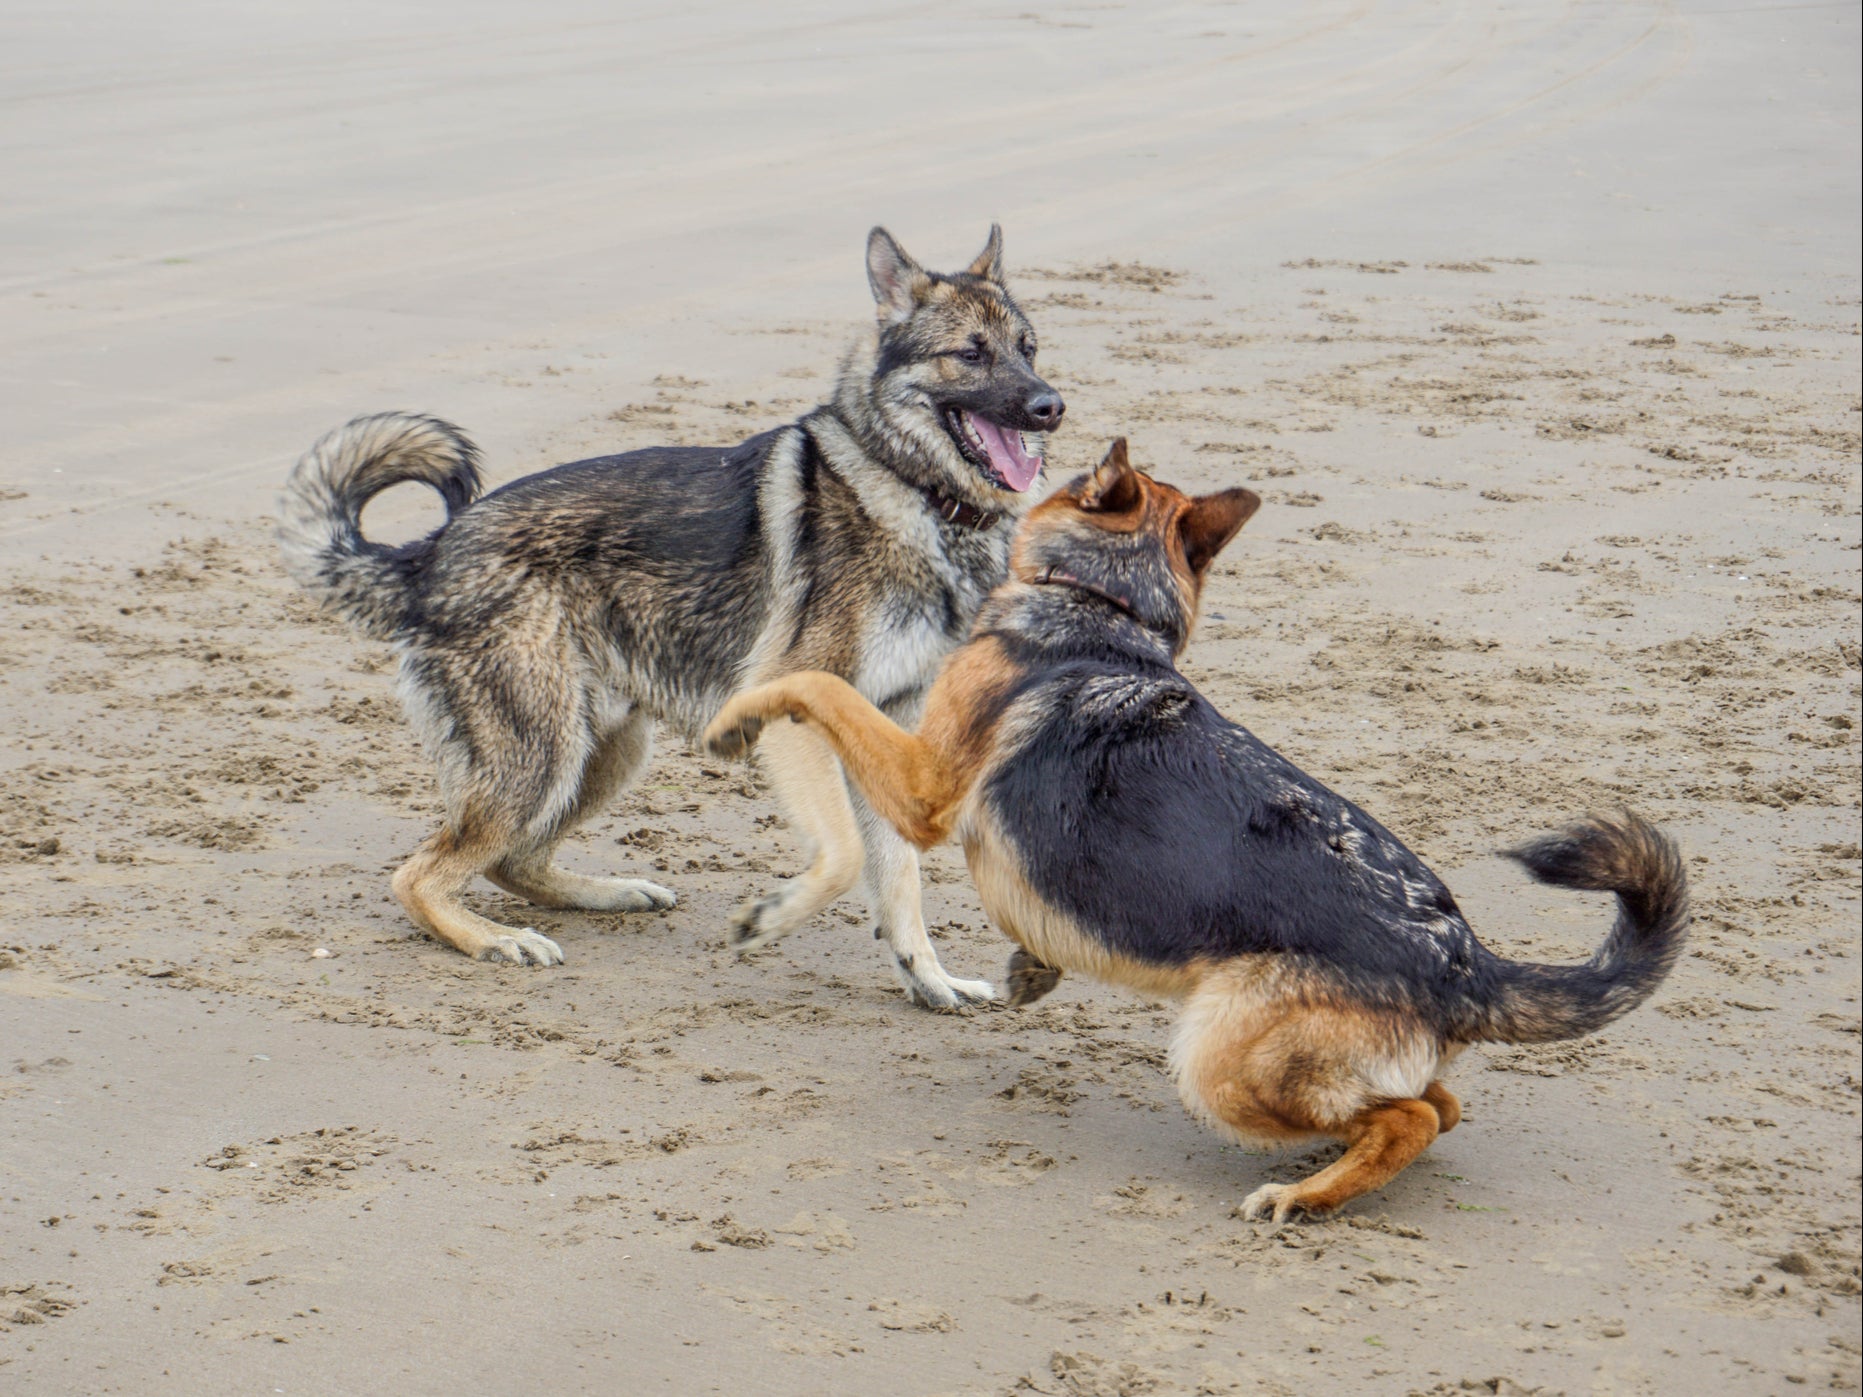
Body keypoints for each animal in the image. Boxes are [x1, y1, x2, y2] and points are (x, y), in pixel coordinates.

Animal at [704, 443, 1699, 1221]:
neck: (1104, 609)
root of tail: (1463, 958)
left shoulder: (921, 787)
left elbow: (816, 686)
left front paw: (737, 716)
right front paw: (1031, 968)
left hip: (1216, 1062)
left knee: (1411, 1116)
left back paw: (1304, 1196)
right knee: (1435, 1104)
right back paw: (1330, 1170)